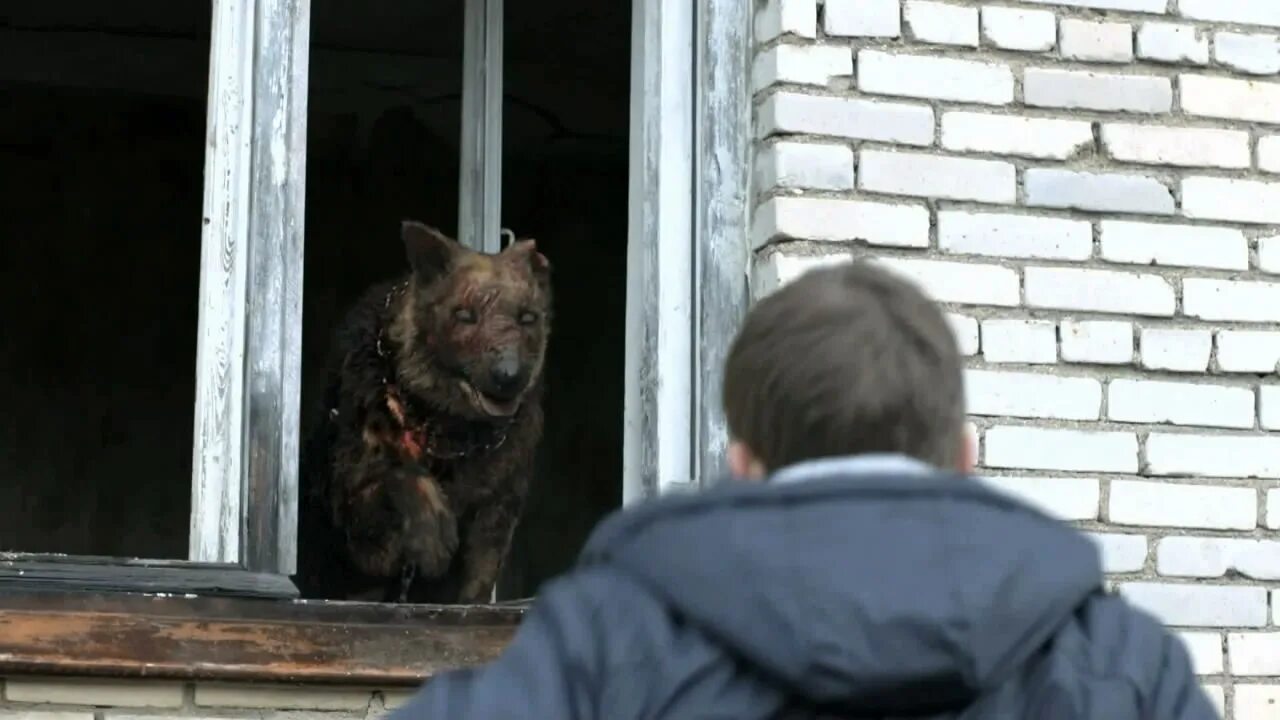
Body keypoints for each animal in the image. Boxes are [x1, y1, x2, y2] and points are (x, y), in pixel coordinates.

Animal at [296, 219, 552, 599]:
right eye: (464, 315)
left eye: (528, 318)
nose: (509, 376)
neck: (448, 433)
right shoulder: (357, 509)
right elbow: (405, 475)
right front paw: (433, 539)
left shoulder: (495, 514)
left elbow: (475, 587)